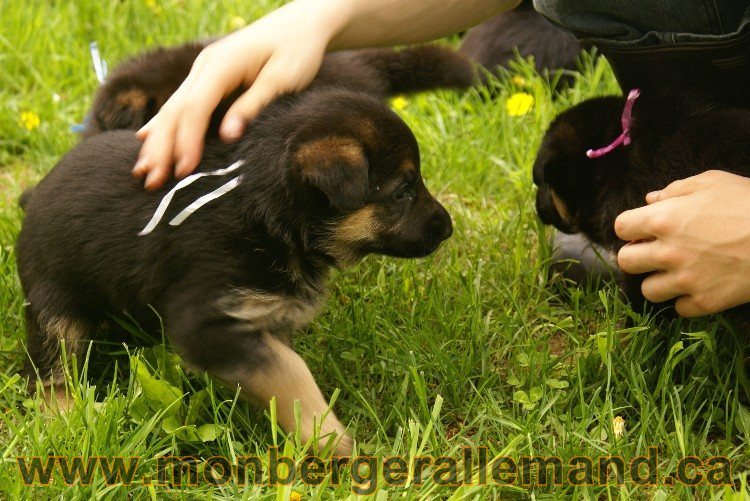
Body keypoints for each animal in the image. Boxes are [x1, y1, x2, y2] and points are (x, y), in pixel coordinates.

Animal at [17, 45, 470, 456]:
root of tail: (35, 196)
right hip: (53, 305)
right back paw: (63, 416)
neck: (267, 217)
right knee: (51, 369)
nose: (448, 227)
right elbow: (289, 372)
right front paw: (331, 440)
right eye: (402, 191)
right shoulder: (205, 321)